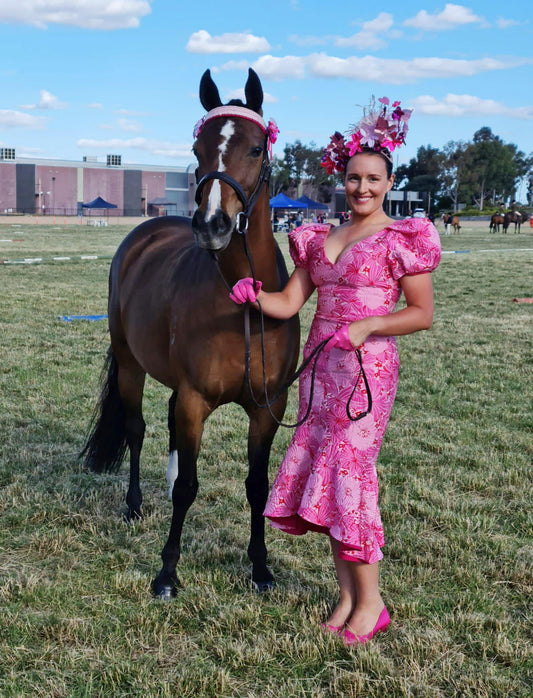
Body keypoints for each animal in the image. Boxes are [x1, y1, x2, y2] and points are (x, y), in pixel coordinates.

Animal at [82, 68, 300, 596]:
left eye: (256, 148)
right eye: (197, 147)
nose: (212, 225)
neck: (242, 306)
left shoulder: (268, 408)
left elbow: (257, 487)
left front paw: (261, 568)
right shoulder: (195, 399)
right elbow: (187, 487)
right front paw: (167, 571)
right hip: (131, 364)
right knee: (137, 429)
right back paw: (135, 505)